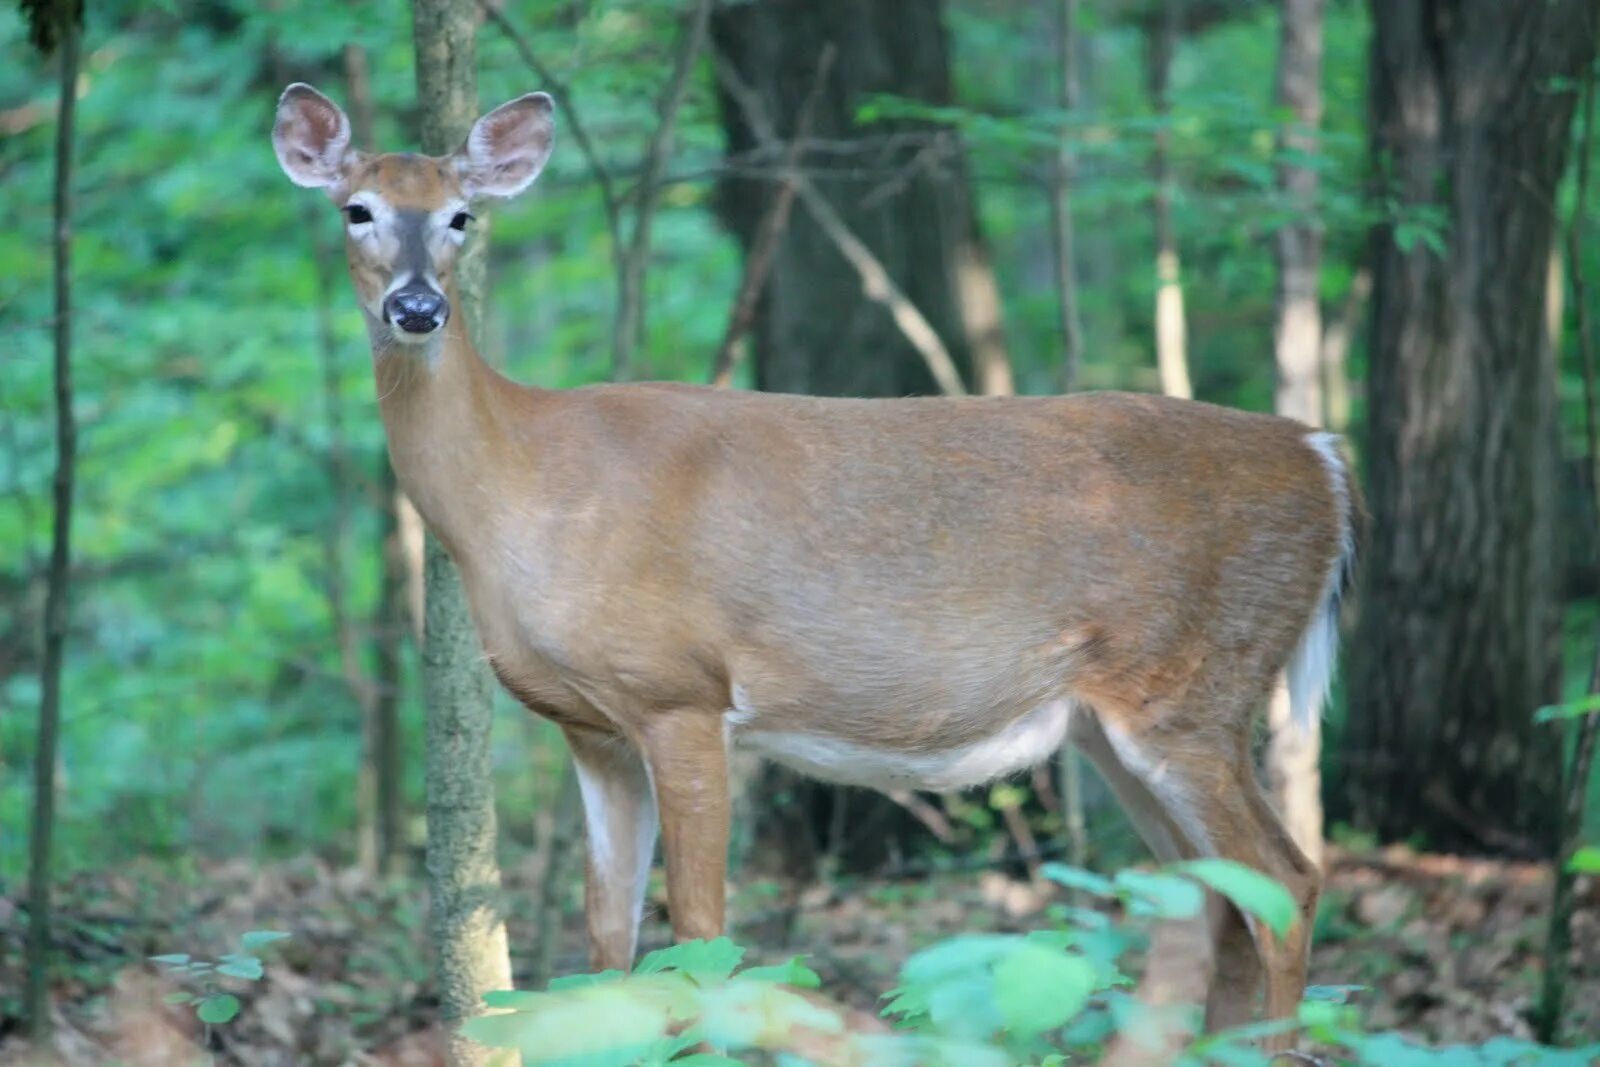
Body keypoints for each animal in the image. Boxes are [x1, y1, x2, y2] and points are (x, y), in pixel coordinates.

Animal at [275, 85, 1363, 1049]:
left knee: (1287, 880)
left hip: (1194, 685)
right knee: (1218, 902)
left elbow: (701, 944)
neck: (523, 488)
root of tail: (1322, 458)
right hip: (1117, 723)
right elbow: (608, 947)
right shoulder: (593, 727)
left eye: (461, 217)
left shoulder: (681, 692)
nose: (418, 307)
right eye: (356, 209)